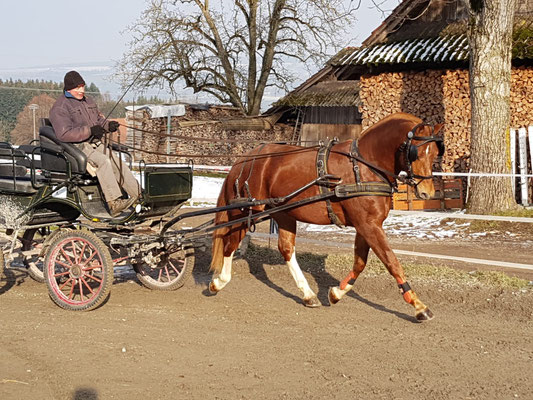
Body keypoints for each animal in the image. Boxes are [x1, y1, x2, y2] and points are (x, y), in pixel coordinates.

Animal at [210, 112, 442, 322]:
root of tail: (245, 159)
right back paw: (219, 281)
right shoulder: (368, 225)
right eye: (415, 153)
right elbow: (392, 262)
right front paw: (419, 306)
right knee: (230, 245)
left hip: (283, 213)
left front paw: (337, 293)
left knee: (286, 249)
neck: (364, 166)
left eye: (434, 153)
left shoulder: (366, 225)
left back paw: (308, 294)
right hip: (245, 212)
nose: (427, 193)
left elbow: (360, 263)